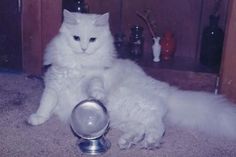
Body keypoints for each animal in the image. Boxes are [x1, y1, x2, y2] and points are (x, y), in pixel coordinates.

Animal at [28, 9, 236, 149]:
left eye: (92, 40)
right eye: (76, 38)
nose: (84, 49)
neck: (80, 64)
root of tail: (167, 92)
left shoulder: (95, 76)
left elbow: (93, 84)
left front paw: (97, 94)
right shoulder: (53, 86)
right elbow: (45, 104)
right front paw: (37, 119)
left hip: (136, 105)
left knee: (157, 125)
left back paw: (149, 142)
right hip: (120, 117)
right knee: (141, 127)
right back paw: (128, 141)